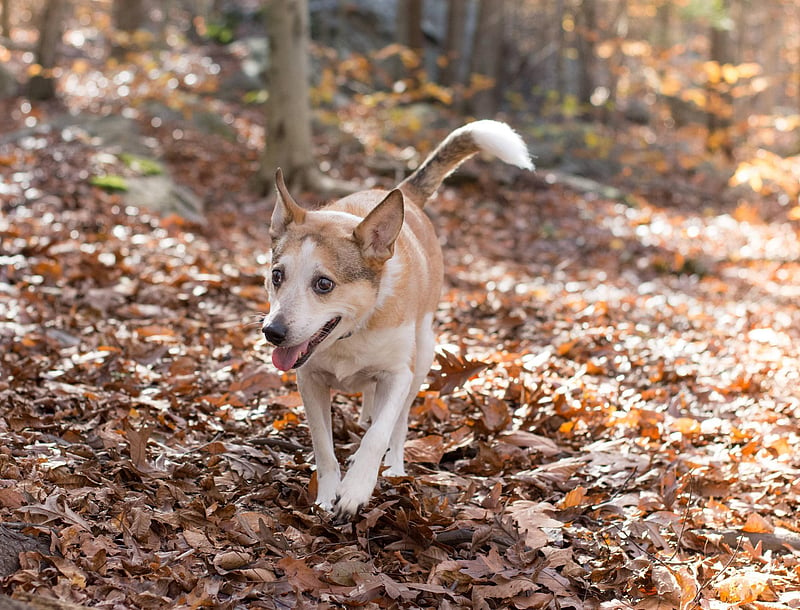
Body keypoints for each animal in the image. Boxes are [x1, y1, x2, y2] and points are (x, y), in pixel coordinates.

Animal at [262, 117, 532, 512]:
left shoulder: (397, 375)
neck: (354, 329)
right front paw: (327, 496)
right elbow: (324, 446)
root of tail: (401, 193)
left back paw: (393, 467)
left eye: (324, 284)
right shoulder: (309, 379)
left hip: (424, 353)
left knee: (399, 420)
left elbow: (379, 434)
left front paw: (356, 489)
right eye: (277, 276)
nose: (273, 332)